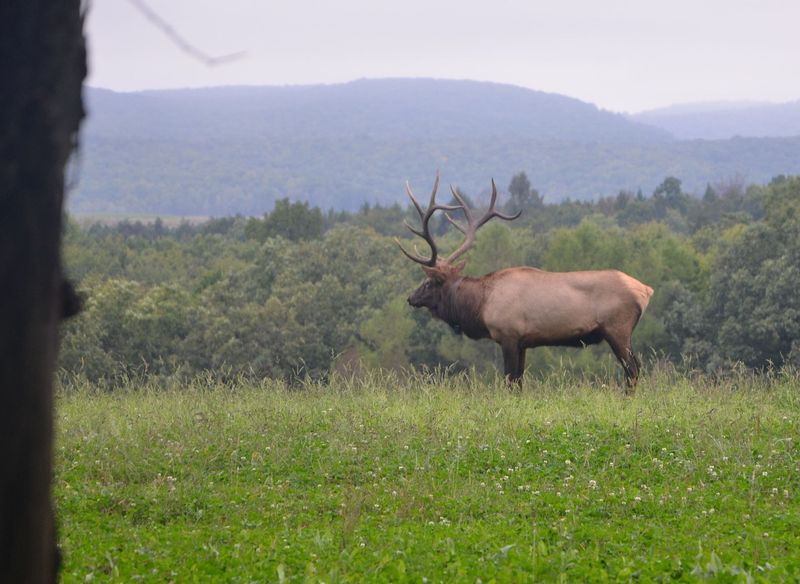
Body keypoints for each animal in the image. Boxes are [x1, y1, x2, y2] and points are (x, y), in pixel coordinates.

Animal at [397, 174, 654, 388]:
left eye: (428, 282)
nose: (410, 298)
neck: (481, 305)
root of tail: (646, 290)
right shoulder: (523, 343)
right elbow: (519, 381)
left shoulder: (508, 335)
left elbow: (510, 381)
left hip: (617, 328)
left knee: (633, 369)